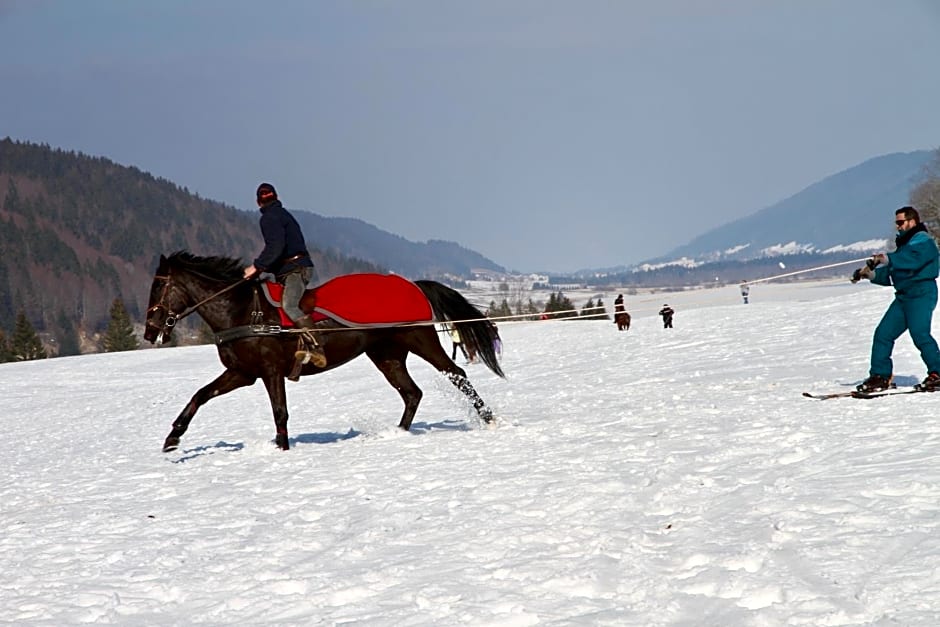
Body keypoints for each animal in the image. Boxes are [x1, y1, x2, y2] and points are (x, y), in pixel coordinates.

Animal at [142, 253, 504, 454]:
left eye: (158, 286)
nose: (149, 331)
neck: (242, 311)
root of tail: (414, 285)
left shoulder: (270, 371)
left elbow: (280, 412)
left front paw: (283, 448)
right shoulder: (242, 373)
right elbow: (200, 395)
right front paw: (172, 438)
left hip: (420, 339)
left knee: (457, 374)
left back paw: (489, 419)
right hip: (386, 354)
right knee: (412, 392)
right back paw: (398, 433)